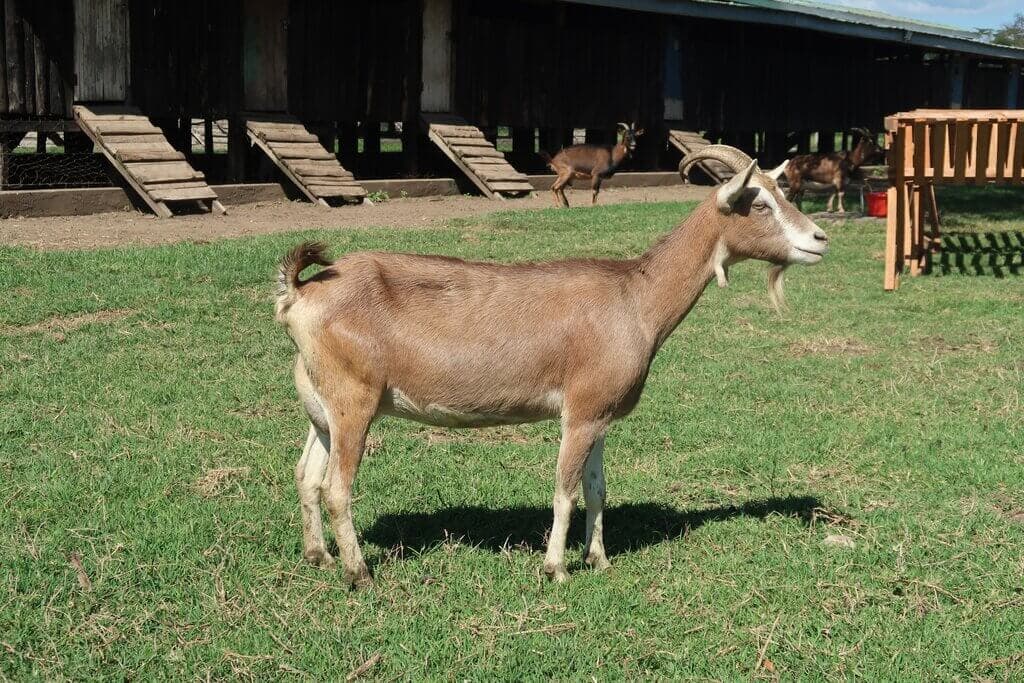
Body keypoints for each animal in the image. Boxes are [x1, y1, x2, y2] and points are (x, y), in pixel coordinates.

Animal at [275, 145, 828, 587]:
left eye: (782, 193)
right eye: (759, 203)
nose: (820, 239)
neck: (636, 298)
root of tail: (300, 293)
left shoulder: (601, 413)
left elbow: (597, 489)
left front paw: (599, 559)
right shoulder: (579, 412)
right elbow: (564, 491)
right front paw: (556, 568)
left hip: (321, 405)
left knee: (306, 474)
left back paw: (318, 556)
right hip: (355, 400)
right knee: (337, 488)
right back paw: (359, 572)